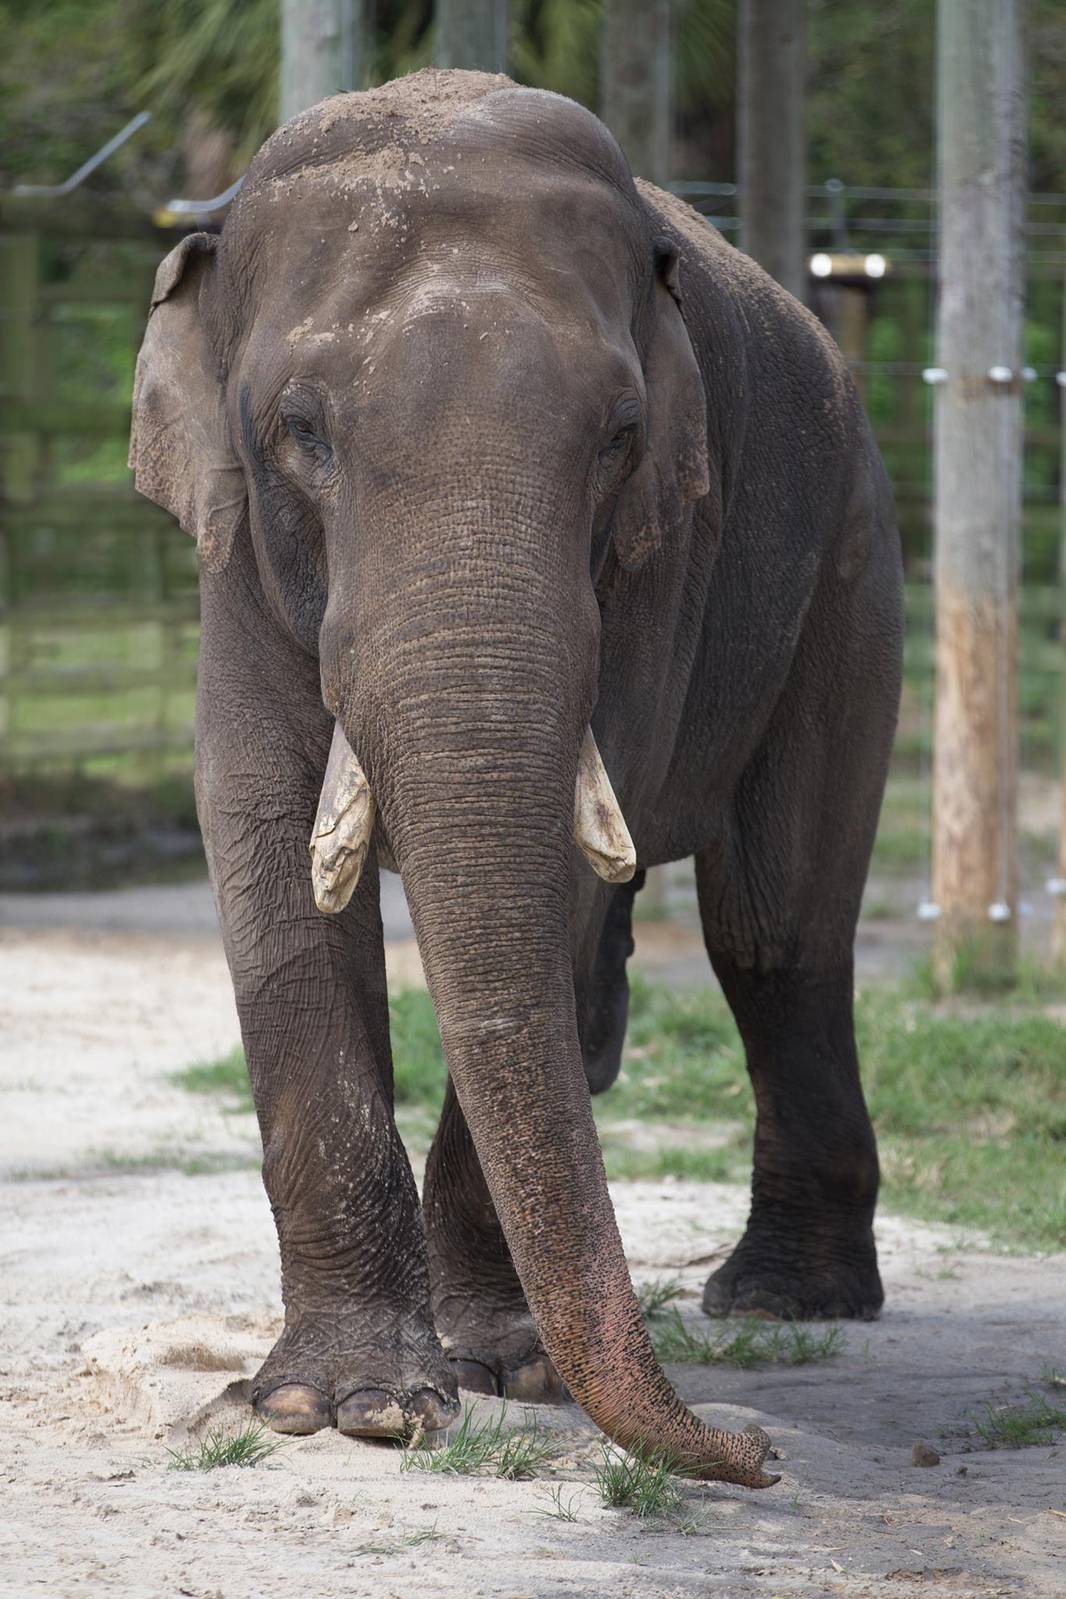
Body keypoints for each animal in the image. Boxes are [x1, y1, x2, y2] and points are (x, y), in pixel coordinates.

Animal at [129, 68, 902, 1489]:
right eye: (300, 431)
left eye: (621, 435)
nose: (756, 1457)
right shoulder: (233, 554)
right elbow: (258, 836)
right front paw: (346, 1407)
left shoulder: (665, 552)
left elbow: (575, 848)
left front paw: (502, 1371)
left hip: (850, 566)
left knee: (772, 935)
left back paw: (782, 1299)